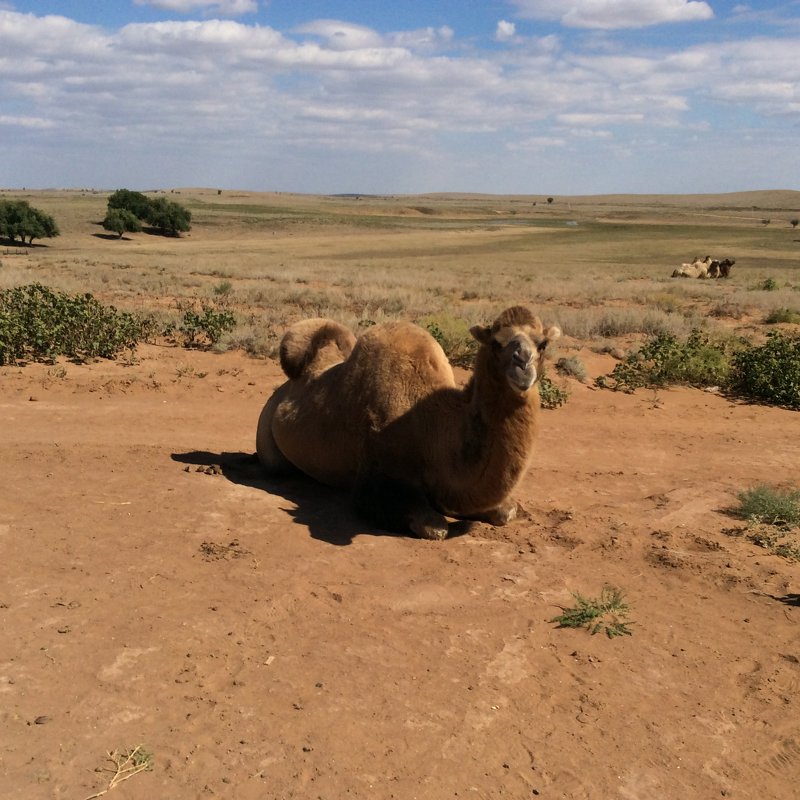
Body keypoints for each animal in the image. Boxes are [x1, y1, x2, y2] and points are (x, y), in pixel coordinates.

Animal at [260, 310, 560, 540]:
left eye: (543, 344)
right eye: (497, 343)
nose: (523, 365)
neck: (430, 422)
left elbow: (504, 511)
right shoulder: (373, 480)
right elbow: (434, 527)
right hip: (268, 442)